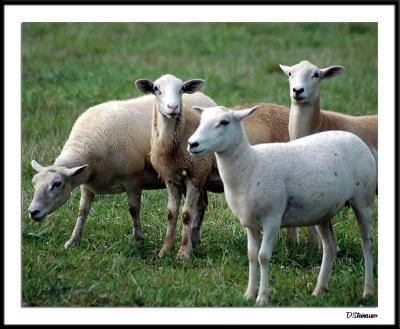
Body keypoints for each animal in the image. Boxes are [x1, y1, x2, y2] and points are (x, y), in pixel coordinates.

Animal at [28, 91, 217, 247]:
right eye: (34, 183)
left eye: (57, 184)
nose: (32, 212)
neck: (88, 147)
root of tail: (204, 97)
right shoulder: (86, 185)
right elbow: (82, 211)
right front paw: (73, 241)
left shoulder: (132, 179)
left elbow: (133, 209)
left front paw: (139, 239)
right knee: (201, 204)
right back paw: (195, 239)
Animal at [188, 105, 376, 304]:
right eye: (201, 120)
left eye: (224, 122)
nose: (192, 144)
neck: (250, 165)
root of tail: (356, 138)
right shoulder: (249, 223)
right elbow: (251, 256)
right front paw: (249, 294)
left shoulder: (272, 219)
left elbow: (263, 257)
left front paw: (262, 297)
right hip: (324, 211)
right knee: (330, 247)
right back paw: (319, 290)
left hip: (363, 200)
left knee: (367, 244)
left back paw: (368, 291)